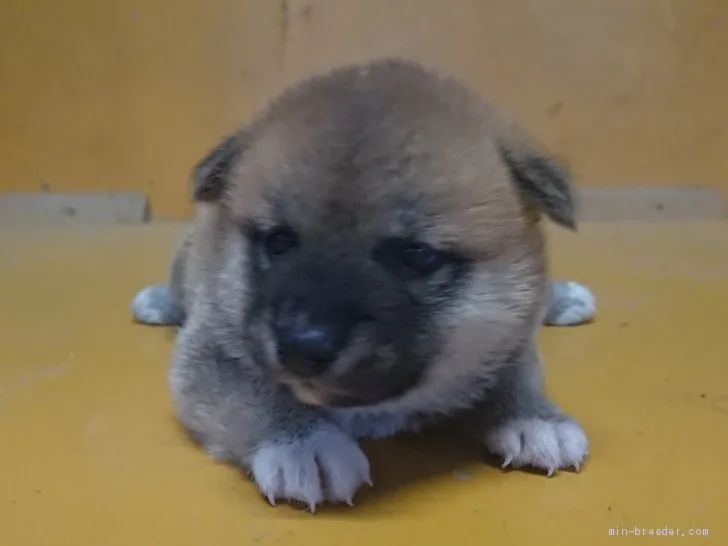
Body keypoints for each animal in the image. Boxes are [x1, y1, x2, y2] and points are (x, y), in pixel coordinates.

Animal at [134, 57, 596, 508]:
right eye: (279, 241)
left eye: (416, 255)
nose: (302, 346)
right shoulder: (209, 355)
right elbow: (251, 395)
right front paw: (304, 442)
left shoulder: (509, 334)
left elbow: (516, 374)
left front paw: (535, 417)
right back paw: (157, 303)